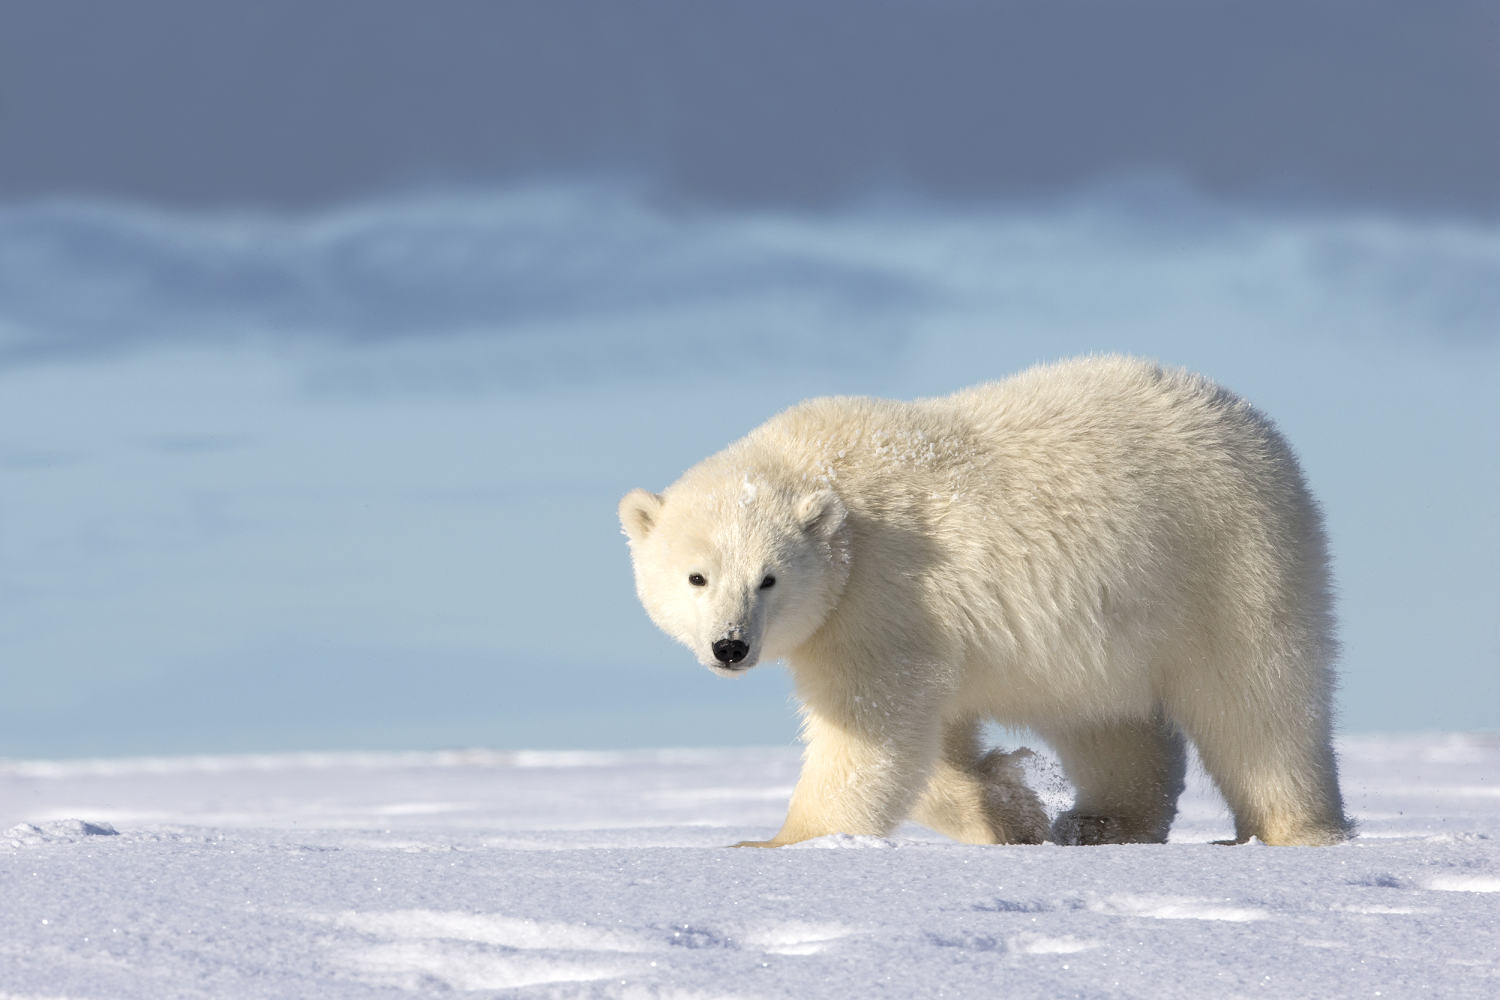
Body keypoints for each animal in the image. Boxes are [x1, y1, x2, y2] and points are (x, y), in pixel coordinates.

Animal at [615, 355, 1356, 851]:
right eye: (697, 577)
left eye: (769, 577)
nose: (731, 645)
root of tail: (1250, 423)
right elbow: (934, 735)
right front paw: (1006, 807)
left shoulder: (880, 598)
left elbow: (872, 726)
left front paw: (782, 842)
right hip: (1109, 619)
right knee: (1107, 717)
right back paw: (1099, 821)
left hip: (1225, 560)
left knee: (1257, 701)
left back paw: (1293, 827)